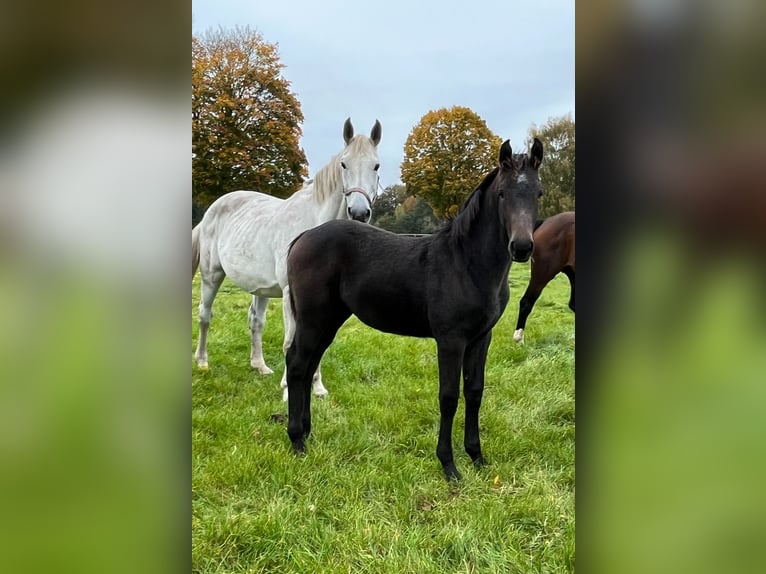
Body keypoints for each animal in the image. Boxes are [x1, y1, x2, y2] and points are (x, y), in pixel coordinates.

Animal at [194, 118, 382, 400]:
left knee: (255, 321)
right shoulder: (288, 295)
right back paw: (202, 362)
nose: (359, 213)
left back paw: (259, 366)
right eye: (344, 164)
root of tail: (213, 208)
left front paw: (318, 388)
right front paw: (287, 390)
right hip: (211, 276)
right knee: (205, 315)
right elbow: (291, 342)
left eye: (376, 165)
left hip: (258, 288)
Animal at [284, 140, 544, 482]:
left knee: (309, 364)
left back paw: (307, 431)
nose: (522, 247)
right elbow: (449, 396)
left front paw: (476, 456)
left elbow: (474, 391)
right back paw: (297, 440)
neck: (468, 263)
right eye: (502, 193)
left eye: (538, 193)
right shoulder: (451, 340)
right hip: (313, 319)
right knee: (297, 364)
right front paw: (449, 465)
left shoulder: (480, 338)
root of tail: (301, 238)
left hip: (328, 321)